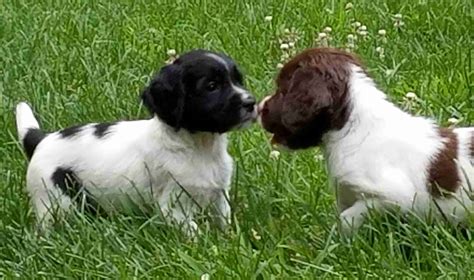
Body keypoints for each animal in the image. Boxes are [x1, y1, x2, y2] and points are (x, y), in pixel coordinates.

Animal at [16, 48, 258, 234]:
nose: (251, 103)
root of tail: (42, 138)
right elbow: (193, 231)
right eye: (211, 86)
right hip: (53, 200)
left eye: (238, 80)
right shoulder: (172, 205)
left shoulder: (219, 194)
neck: (200, 147)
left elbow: (224, 221)